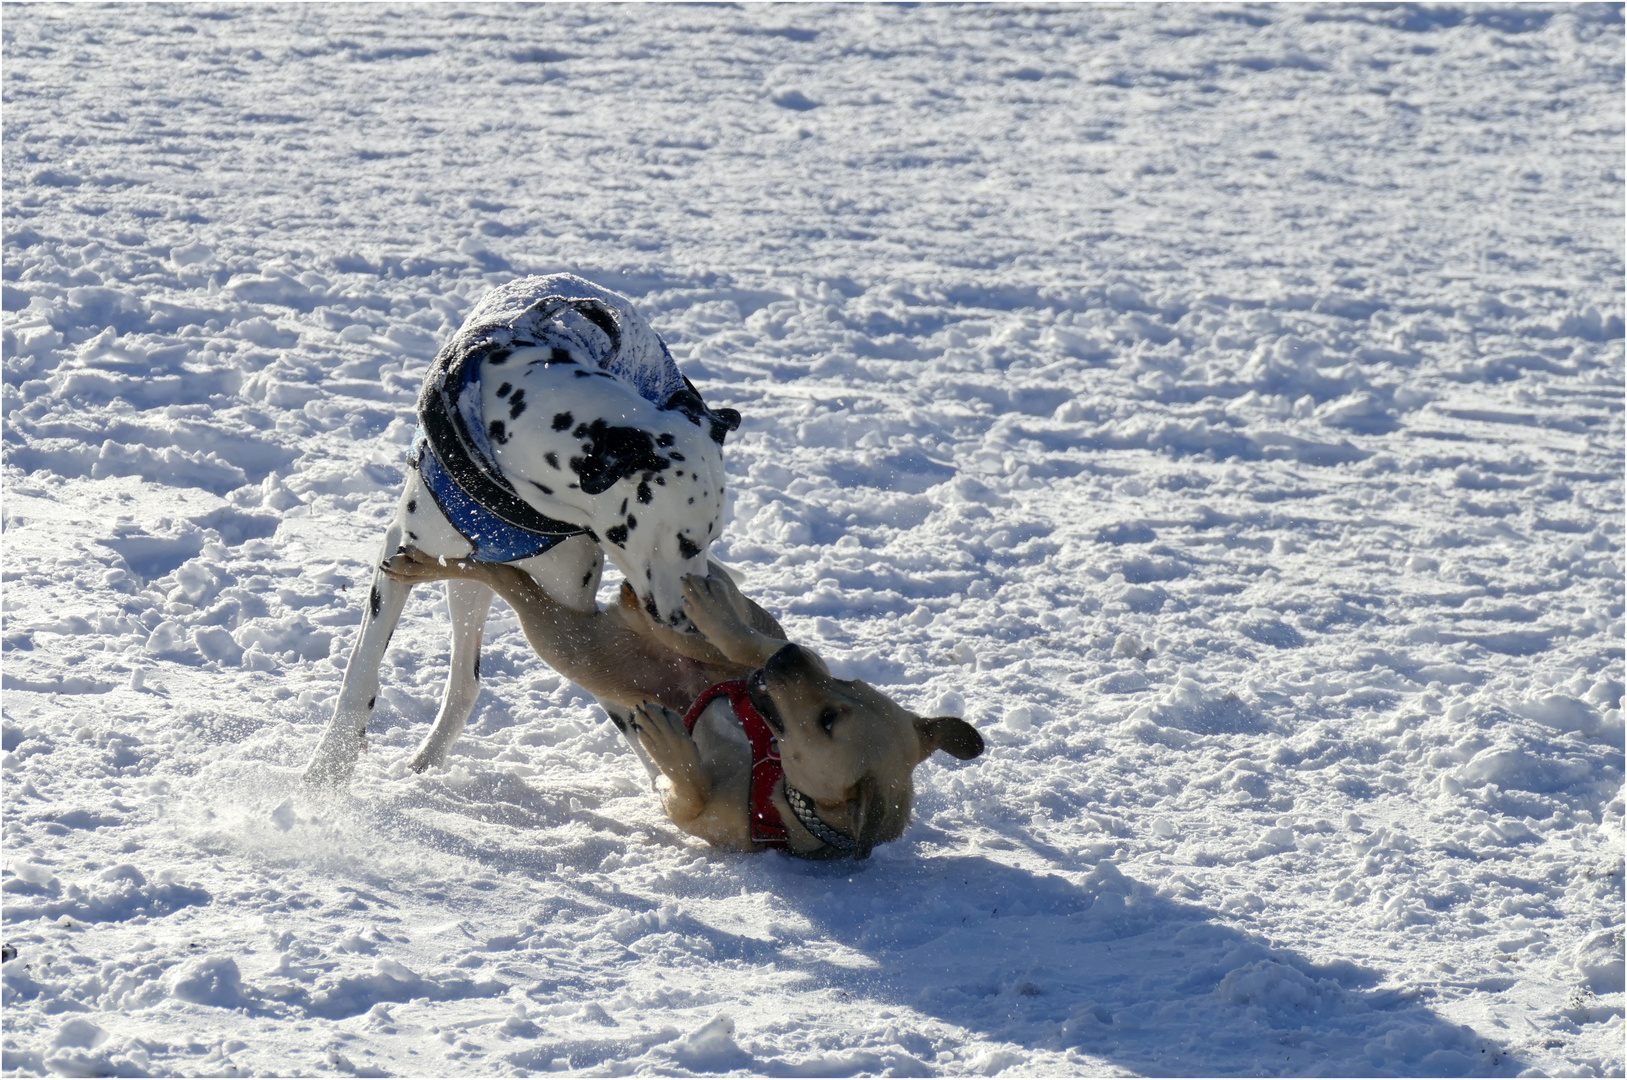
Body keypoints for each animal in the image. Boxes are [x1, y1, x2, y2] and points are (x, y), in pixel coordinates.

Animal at [302, 276, 741, 783]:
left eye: (712, 540)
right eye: (687, 541)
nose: (694, 624)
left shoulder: (568, 605)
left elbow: (622, 695)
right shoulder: (401, 554)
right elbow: (362, 670)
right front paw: (326, 770)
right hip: (462, 577)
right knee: (464, 682)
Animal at [385, 549, 982, 858]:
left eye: (827, 721)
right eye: (847, 683)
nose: (792, 656)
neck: (775, 779)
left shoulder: (692, 815)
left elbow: (688, 790)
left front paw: (670, 744)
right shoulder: (759, 660)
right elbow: (742, 642)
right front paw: (722, 620)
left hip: (570, 644)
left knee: (504, 576)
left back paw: (422, 563)